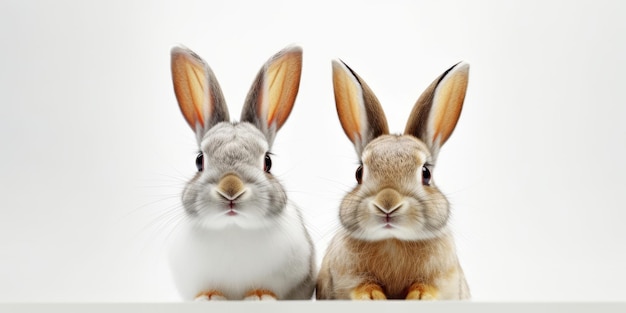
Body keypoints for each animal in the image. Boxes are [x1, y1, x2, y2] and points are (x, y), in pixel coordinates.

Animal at [167, 45, 312, 300]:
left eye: (267, 162)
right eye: (199, 160)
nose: (231, 189)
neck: (232, 229)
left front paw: (261, 296)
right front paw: (209, 297)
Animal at [314, 59, 470, 300]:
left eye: (426, 173)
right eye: (359, 172)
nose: (387, 204)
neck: (393, 241)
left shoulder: (444, 279)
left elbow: (428, 287)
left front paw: (419, 297)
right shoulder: (347, 278)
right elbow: (362, 286)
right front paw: (372, 297)